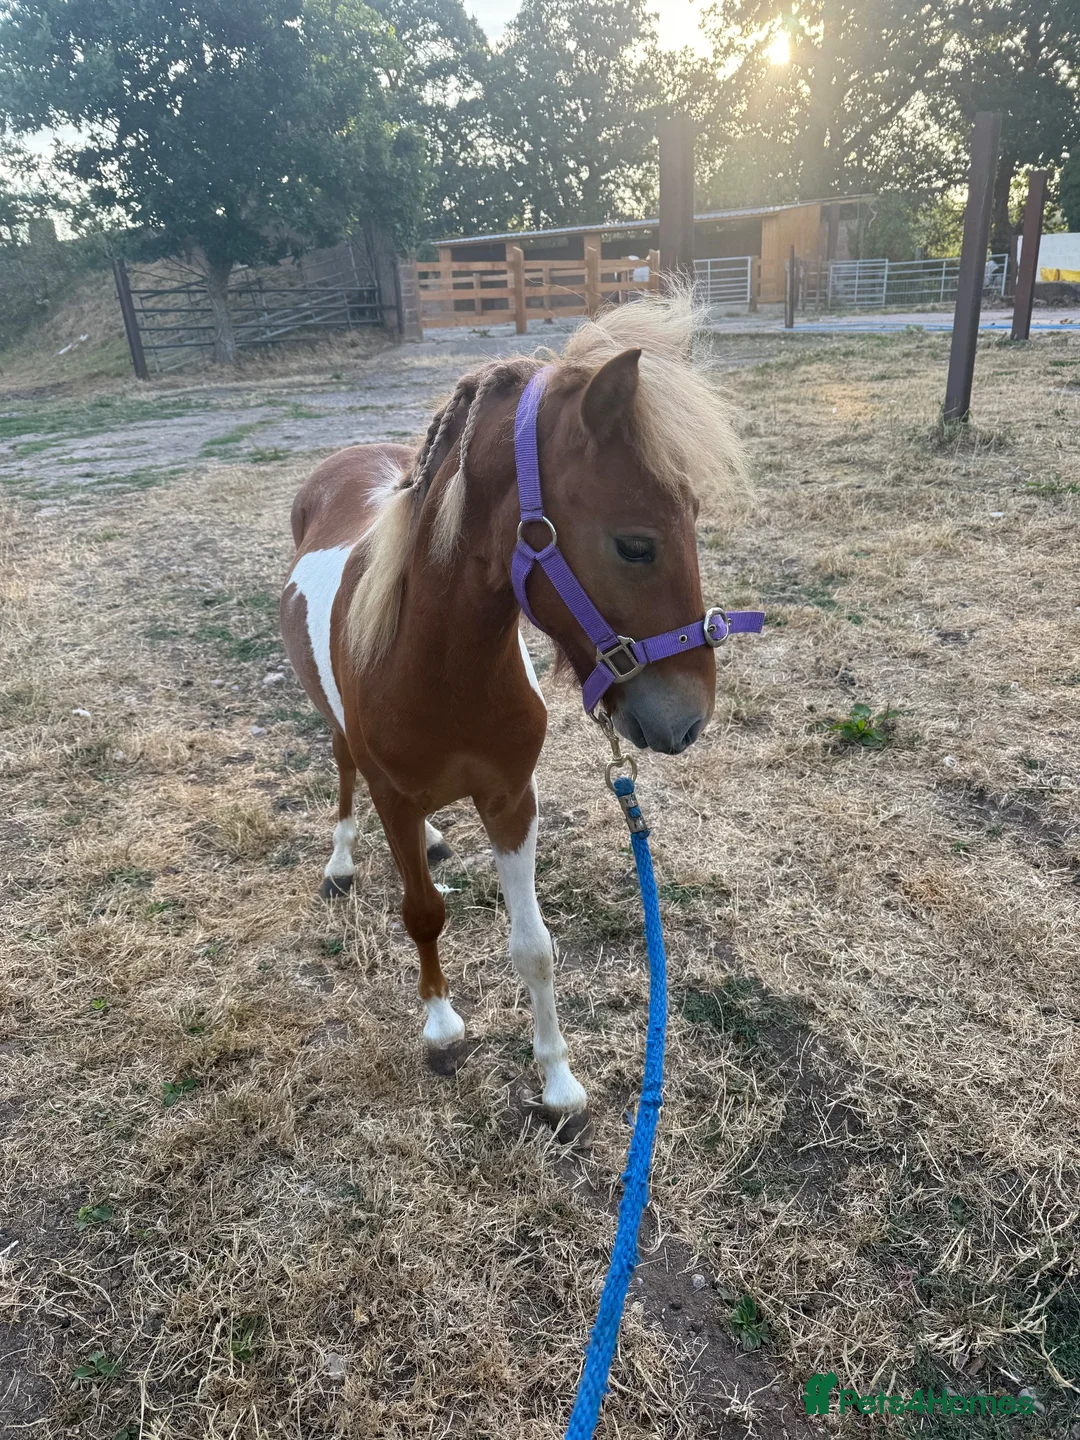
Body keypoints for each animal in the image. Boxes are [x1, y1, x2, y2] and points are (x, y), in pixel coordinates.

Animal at [279, 291, 748, 1115]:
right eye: (634, 543)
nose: (687, 719)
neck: (441, 669)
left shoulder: (509, 798)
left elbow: (535, 948)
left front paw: (558, 1083)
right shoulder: (394, 797)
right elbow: (422, 913)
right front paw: (441, 1031)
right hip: (338, 730)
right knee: (341, 770)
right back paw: (339, 861)